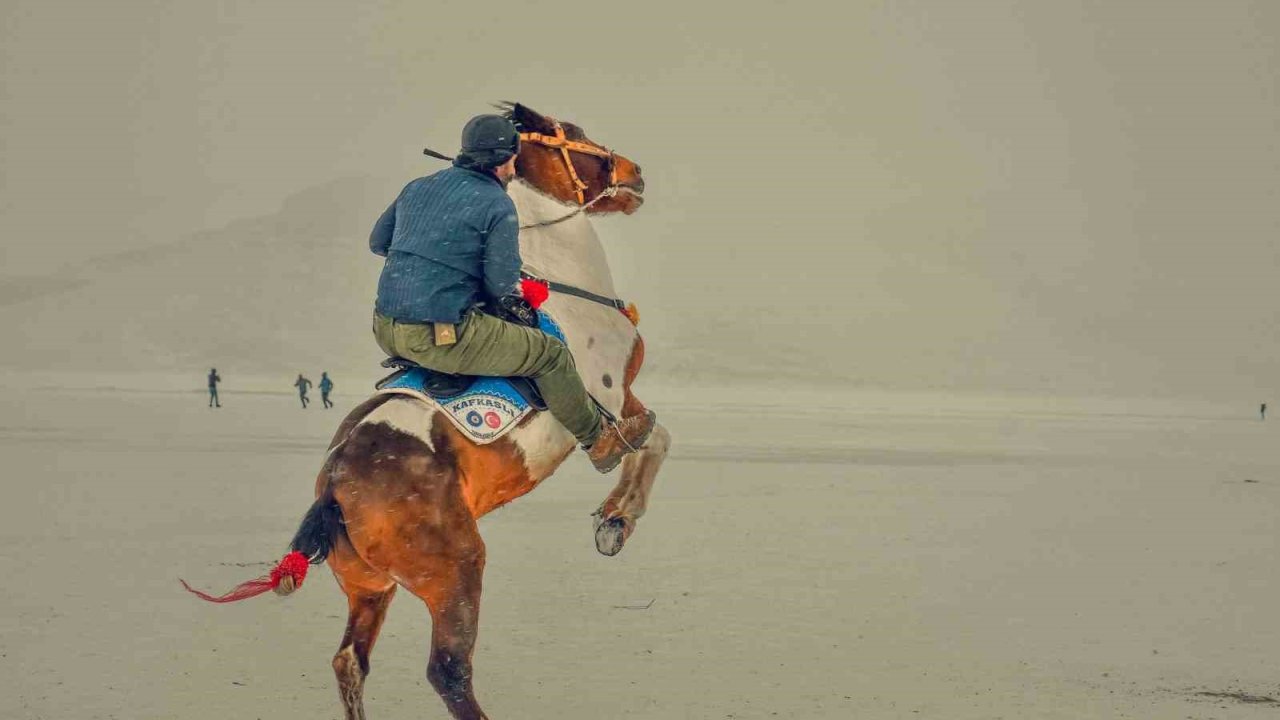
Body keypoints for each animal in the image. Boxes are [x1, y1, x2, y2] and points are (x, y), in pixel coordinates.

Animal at [186, 102, 680, 717]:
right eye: (574, 134)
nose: (635, 173)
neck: (566, 293)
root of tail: (334, 488)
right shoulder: (610, 401)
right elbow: (647, 440)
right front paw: (617, 519)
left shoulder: (624, 399)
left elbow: (655, 437)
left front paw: (612, 520)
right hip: (456, 570)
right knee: (448, 670)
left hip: (371, 586)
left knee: (349, 662)